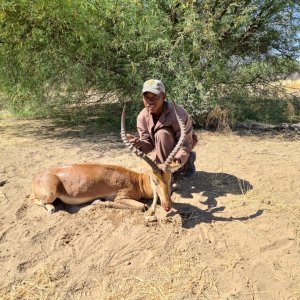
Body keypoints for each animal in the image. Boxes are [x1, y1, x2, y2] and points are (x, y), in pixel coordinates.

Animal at [31, 99, 185, 217]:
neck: (137, 181)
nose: (167, 206)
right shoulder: (121, 197)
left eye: (170, 178)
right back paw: (51, 208)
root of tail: (37, 178)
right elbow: (141, 206)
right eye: (154, 180)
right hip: (50, 194)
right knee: (35, 199)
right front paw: (97, 202)